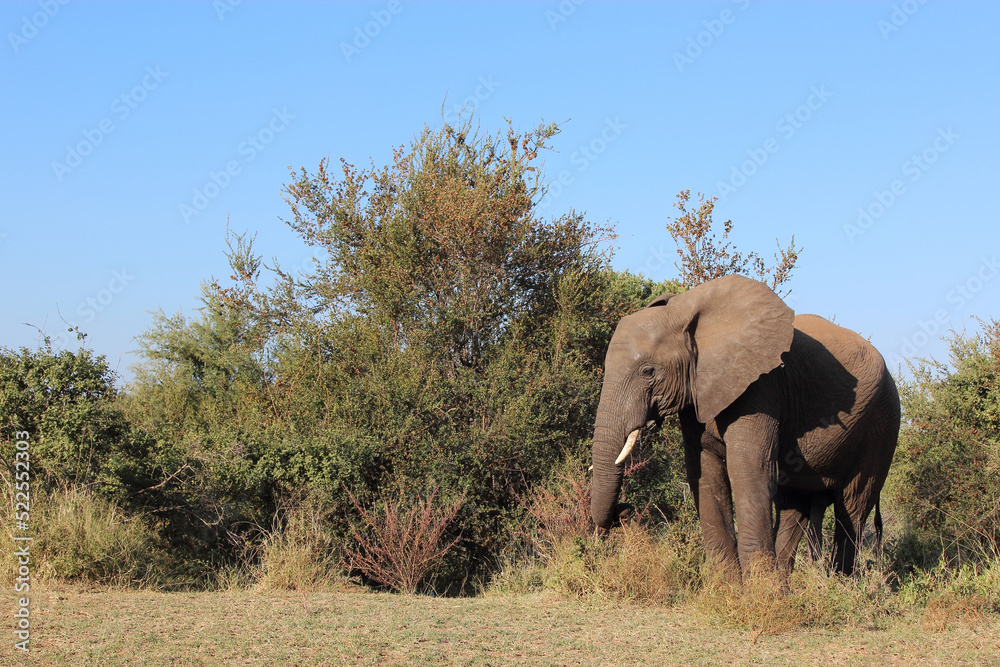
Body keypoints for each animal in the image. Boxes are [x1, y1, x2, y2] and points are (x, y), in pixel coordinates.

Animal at [588, 274, 904, 576]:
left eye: (648, 372)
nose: (624, 512)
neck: (688, 312)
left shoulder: (761, 387)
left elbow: (749, 470)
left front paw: (754, 590)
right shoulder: (698, 393)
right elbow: (704, 473)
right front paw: (727, 587)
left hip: (882, 422)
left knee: (852, 505)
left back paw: (838, 584)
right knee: (795, 504)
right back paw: (783, 584)